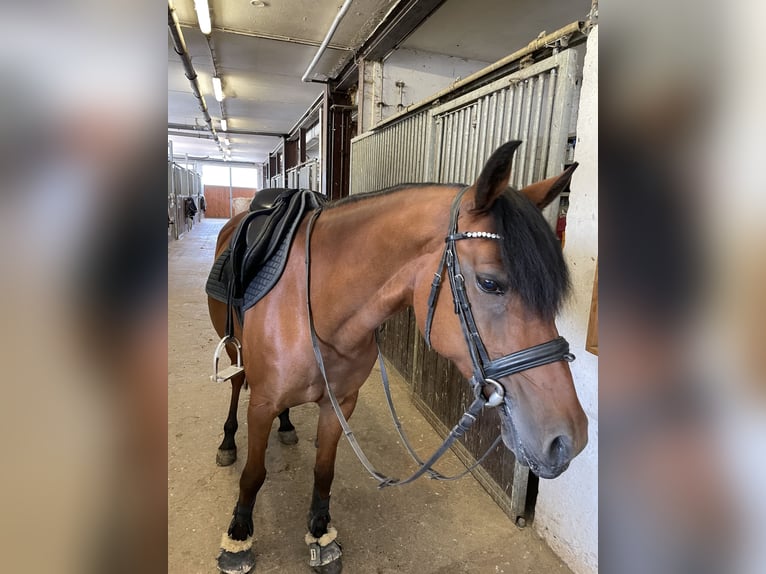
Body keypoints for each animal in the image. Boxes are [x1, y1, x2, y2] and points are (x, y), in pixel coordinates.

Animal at [207, 141, 592, 574]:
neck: (314, 304)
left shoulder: (340, 403)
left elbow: (324, 470)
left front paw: (321, 533)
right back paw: (228, 442)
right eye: (490, 283)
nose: (568, 440)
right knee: (237, 385)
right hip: (234, 350)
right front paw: (239, 537)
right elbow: (253, 474)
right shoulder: (262, 404)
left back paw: (287, 426)